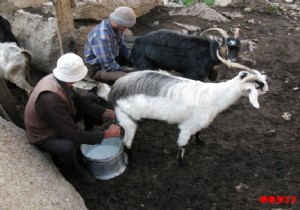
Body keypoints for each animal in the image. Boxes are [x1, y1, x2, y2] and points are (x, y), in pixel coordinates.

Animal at [108, 69, 270, 165]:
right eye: (258, 84)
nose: (267, 84)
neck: (214, 97)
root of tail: (115, 90)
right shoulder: (187, 126)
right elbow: (182, 145)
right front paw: (181, 163)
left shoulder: (198, 123)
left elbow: (199, 133)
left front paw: (200, 142)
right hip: (128, 120)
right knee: (126, 143)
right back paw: (131, 162)